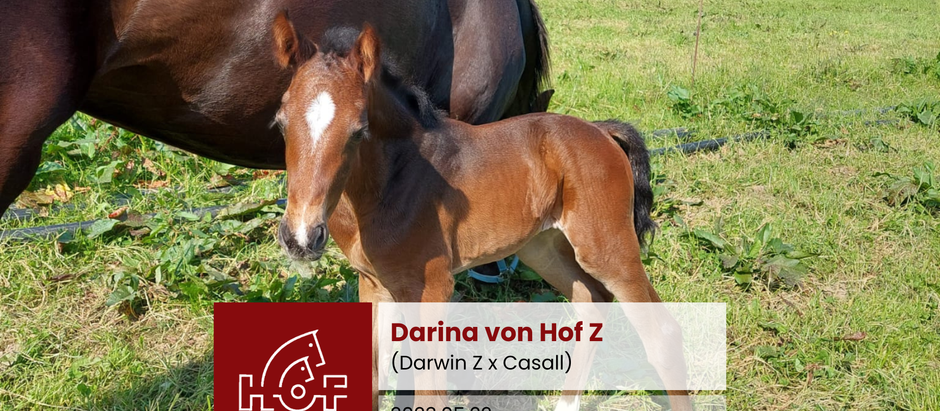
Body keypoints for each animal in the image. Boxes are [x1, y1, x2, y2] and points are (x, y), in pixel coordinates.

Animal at [271, 19, 692, 411]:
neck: (389, 183)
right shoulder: (373, 284)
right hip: (542, 247)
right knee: (592, 303)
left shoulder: (432, 286)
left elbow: (430, 389)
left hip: (605, 248)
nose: (302, 238)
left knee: (663, 333)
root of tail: (600, 131)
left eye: (359, 130)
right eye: (280, 123)